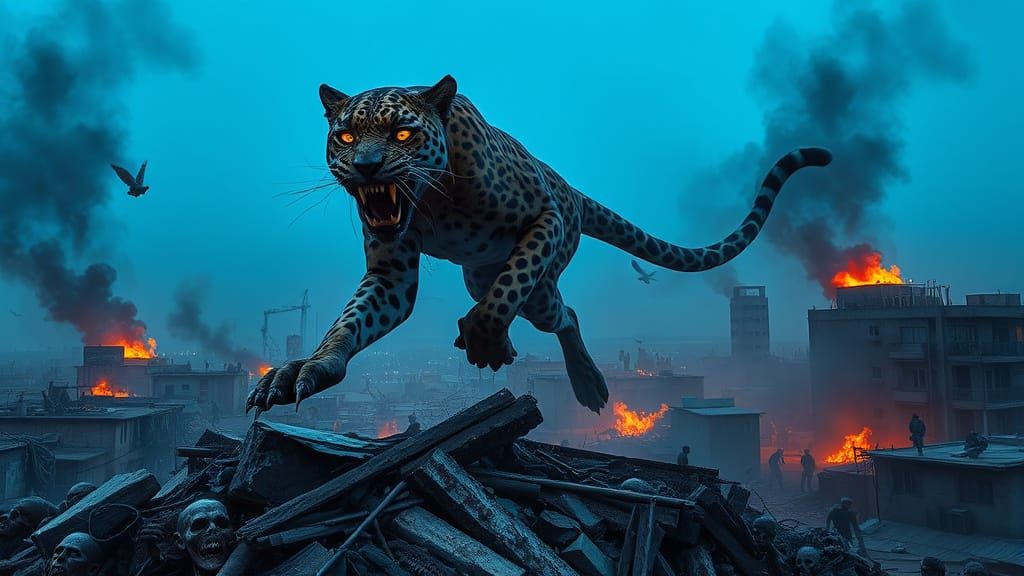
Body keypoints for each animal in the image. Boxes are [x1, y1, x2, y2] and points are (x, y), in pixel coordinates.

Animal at [247, 75, 831, 415]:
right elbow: (350, 322)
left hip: (544, 273)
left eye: (402, 135)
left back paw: (586, 383)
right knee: (540, 305)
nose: (367, 166)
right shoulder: (392, 275)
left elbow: (510, 286)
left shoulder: (542, 216)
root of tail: (568, 185)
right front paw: (306, 370)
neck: (432, 201)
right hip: (486, 276)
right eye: (346, 136)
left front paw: (485, 338)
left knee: (562, 311)